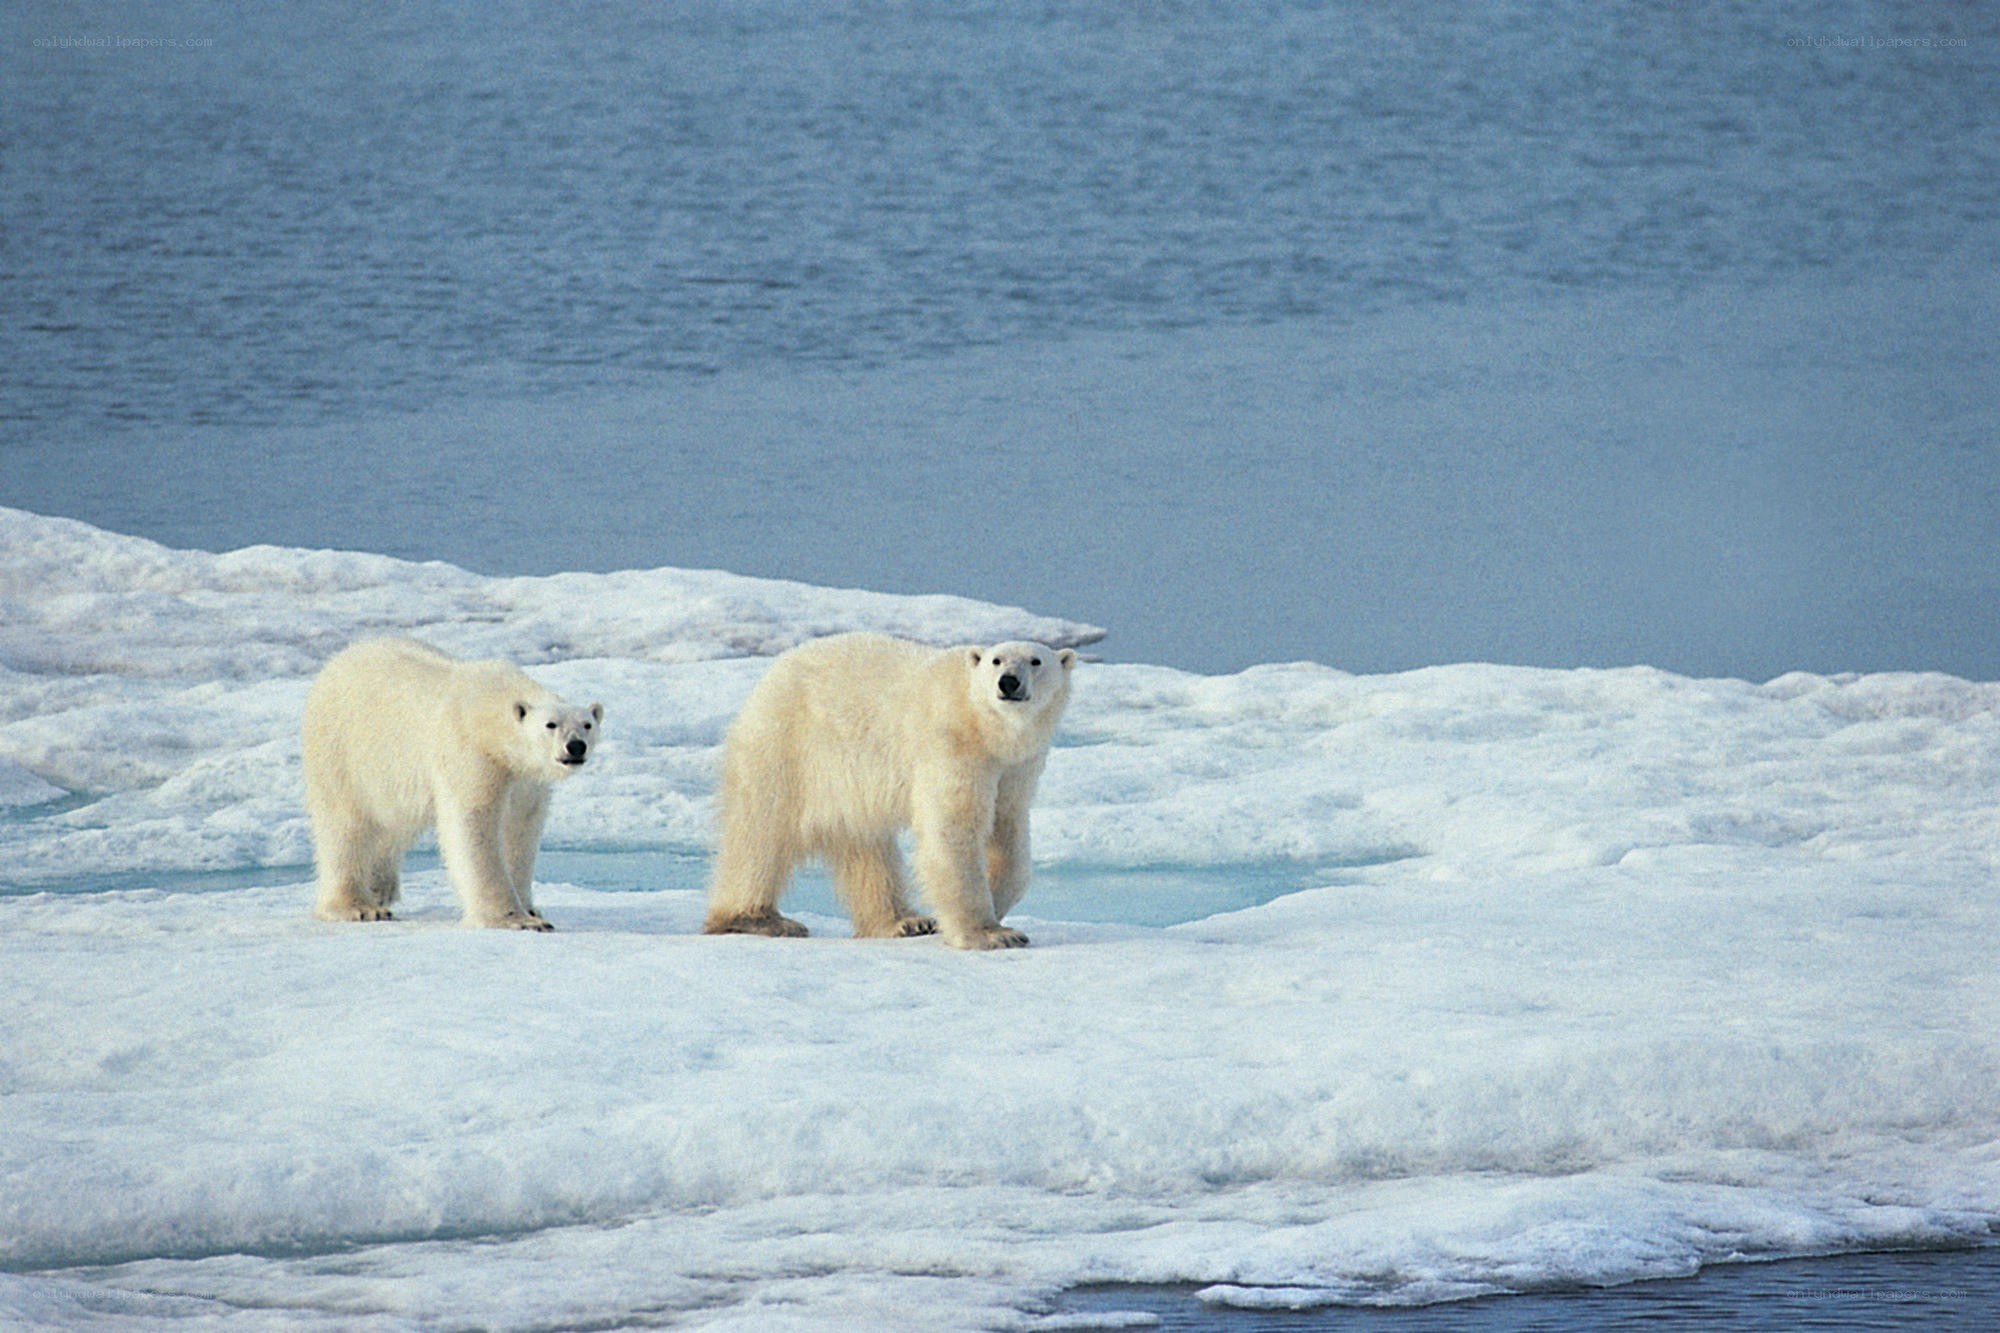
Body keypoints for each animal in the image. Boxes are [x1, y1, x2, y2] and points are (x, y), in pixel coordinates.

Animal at [302, 637, 602, 931]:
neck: (489, 715)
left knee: (394, 823)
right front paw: (516, 919)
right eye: (551, 725)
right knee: (345, 825)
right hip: (344, 751)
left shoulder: (525, 779)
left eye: (587, 724)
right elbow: (473, 825)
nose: (576, 746)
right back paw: (359, 907)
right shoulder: (471, 754)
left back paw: (379, 886)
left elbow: (521, 827)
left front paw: (529, 907)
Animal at [703, 632, 1075, 950]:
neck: (984, 727)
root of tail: (770, 677)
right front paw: (990, 933)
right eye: (996, 660)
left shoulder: (1016, 768)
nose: (1008, 682)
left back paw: (904, 921)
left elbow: (1007, 830)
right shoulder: (951, 746)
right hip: (786, 746)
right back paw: (756, 918)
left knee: (865, 844)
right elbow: (954, 829)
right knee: (761, 831)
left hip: (846, 785)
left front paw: (992, 906)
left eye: (1035, 661)